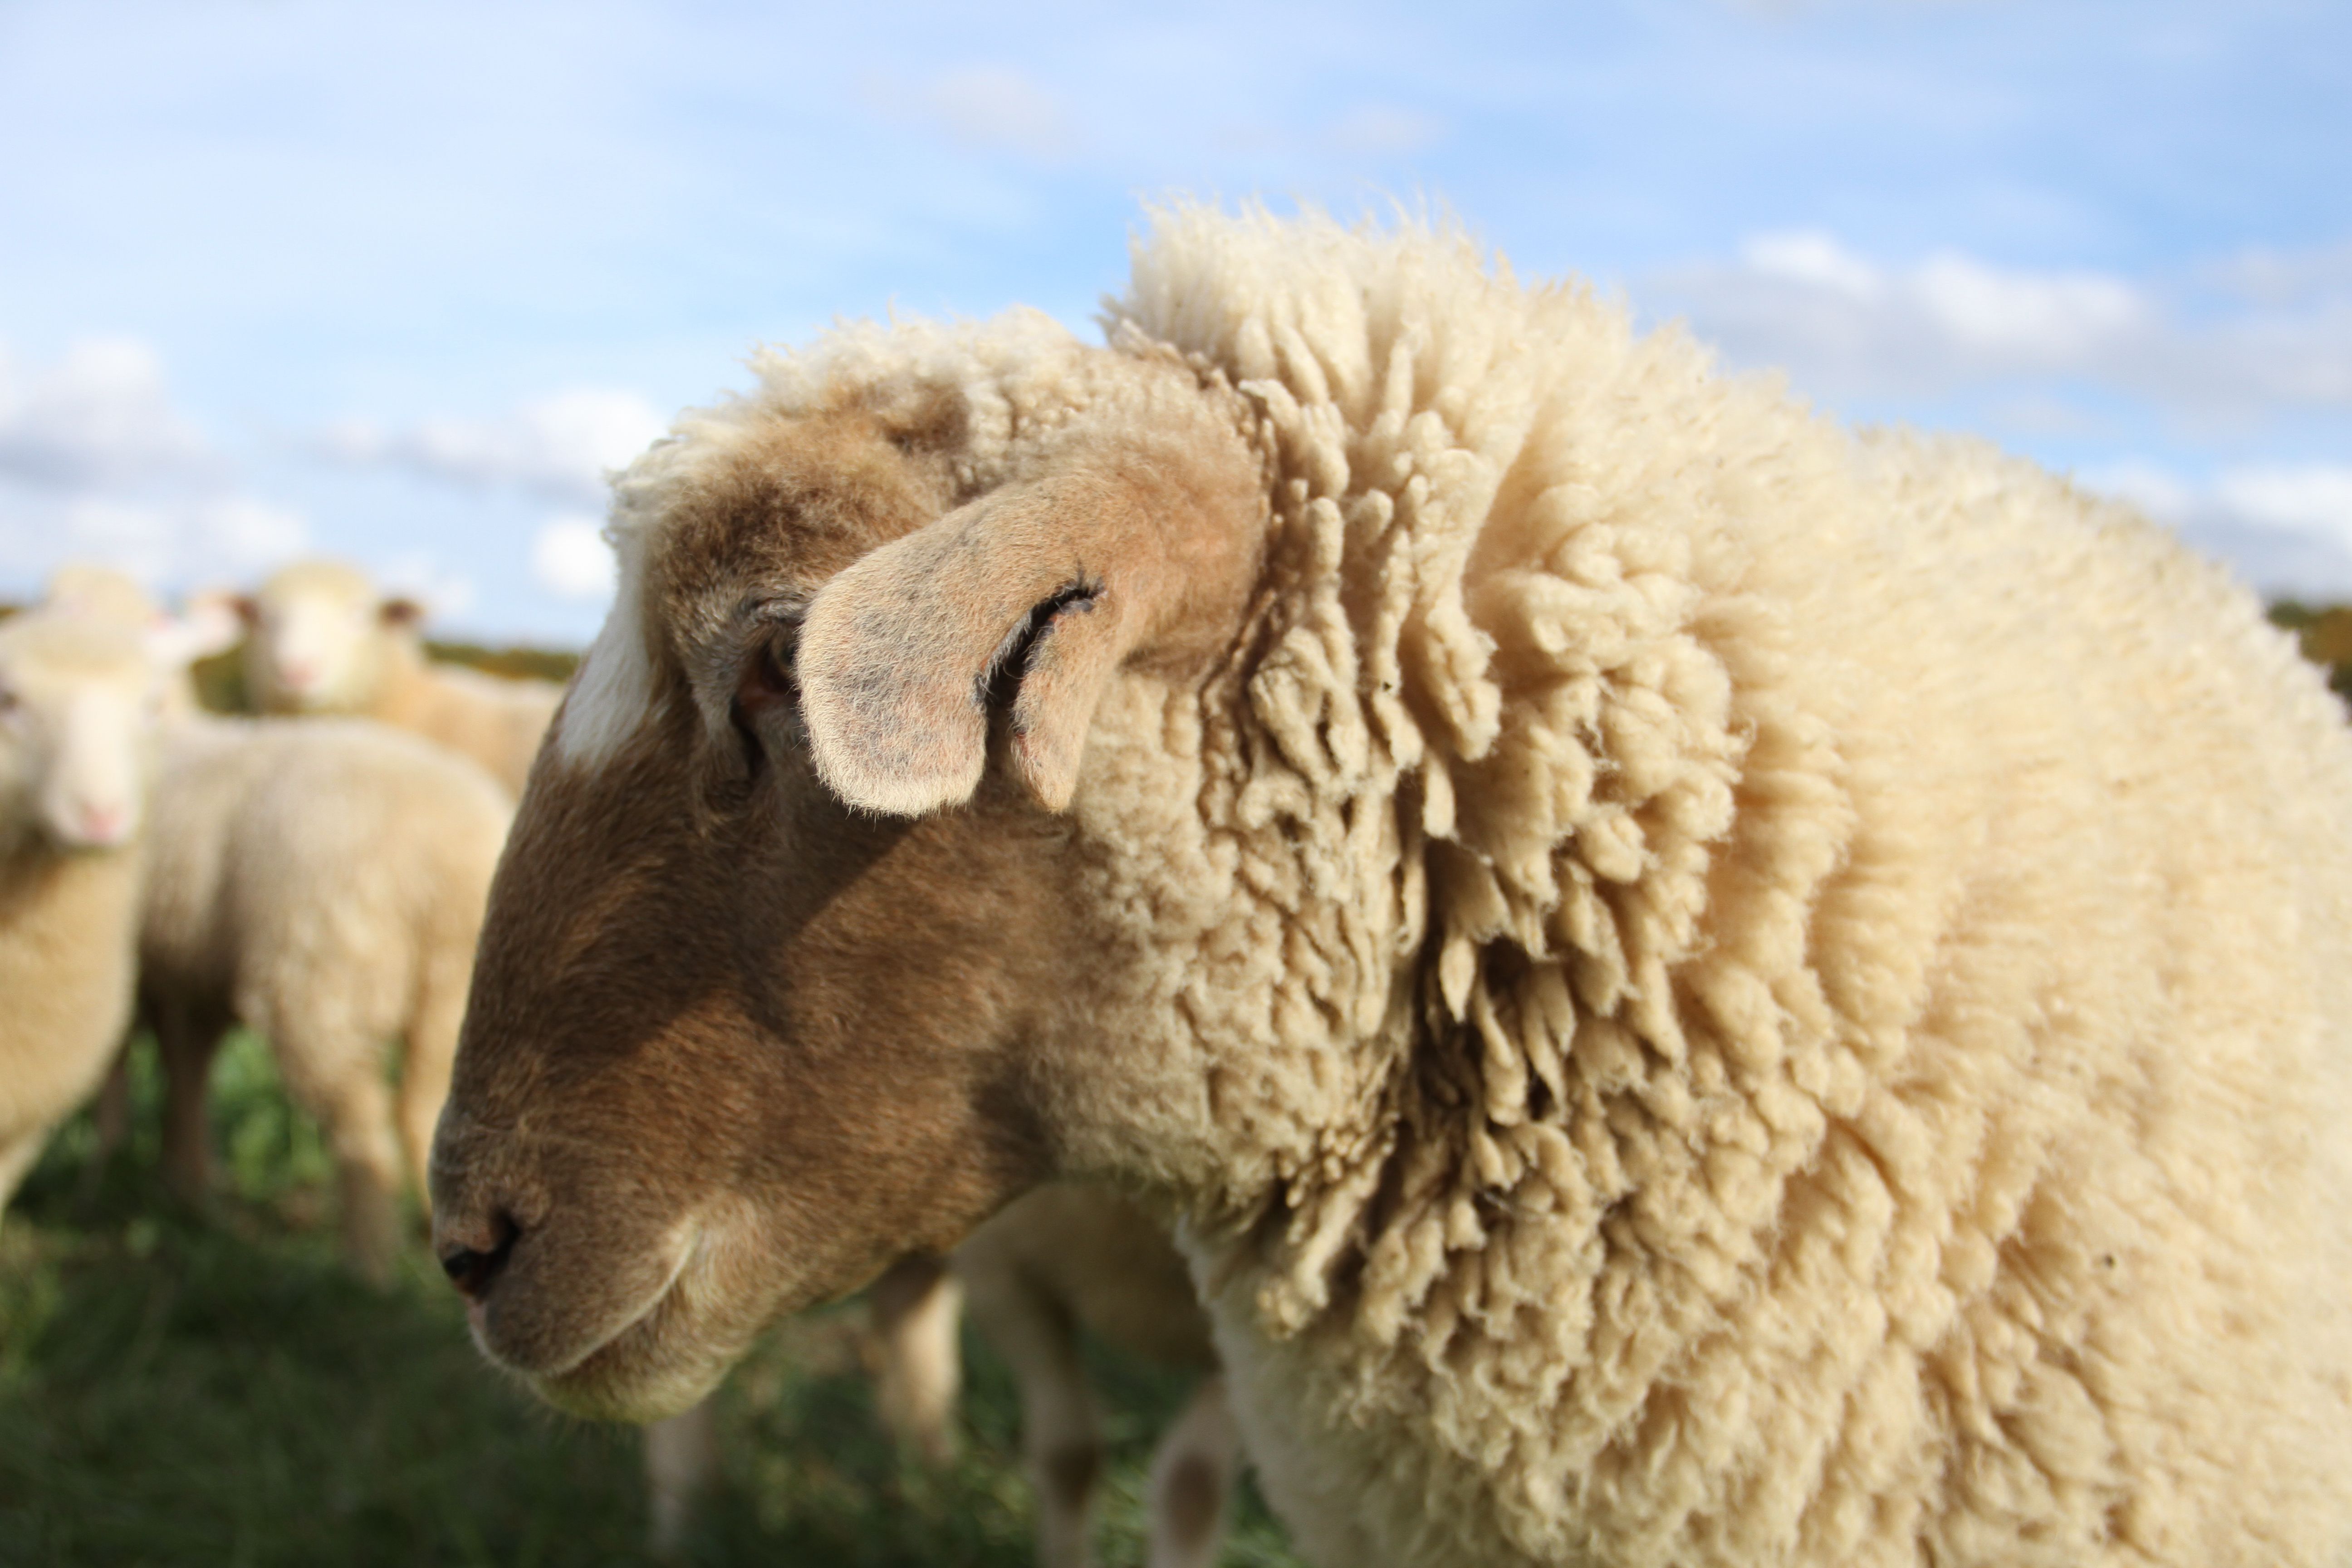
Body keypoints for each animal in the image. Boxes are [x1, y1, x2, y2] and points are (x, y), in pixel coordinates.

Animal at [147, 719, 515, 1279]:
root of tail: (438, 869)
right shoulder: (194, 978)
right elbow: (187, 1065)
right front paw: (185, 1184)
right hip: (451, 994)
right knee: (427, 1114)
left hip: (316, 988)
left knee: (361, 1126)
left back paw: (369, 1262)